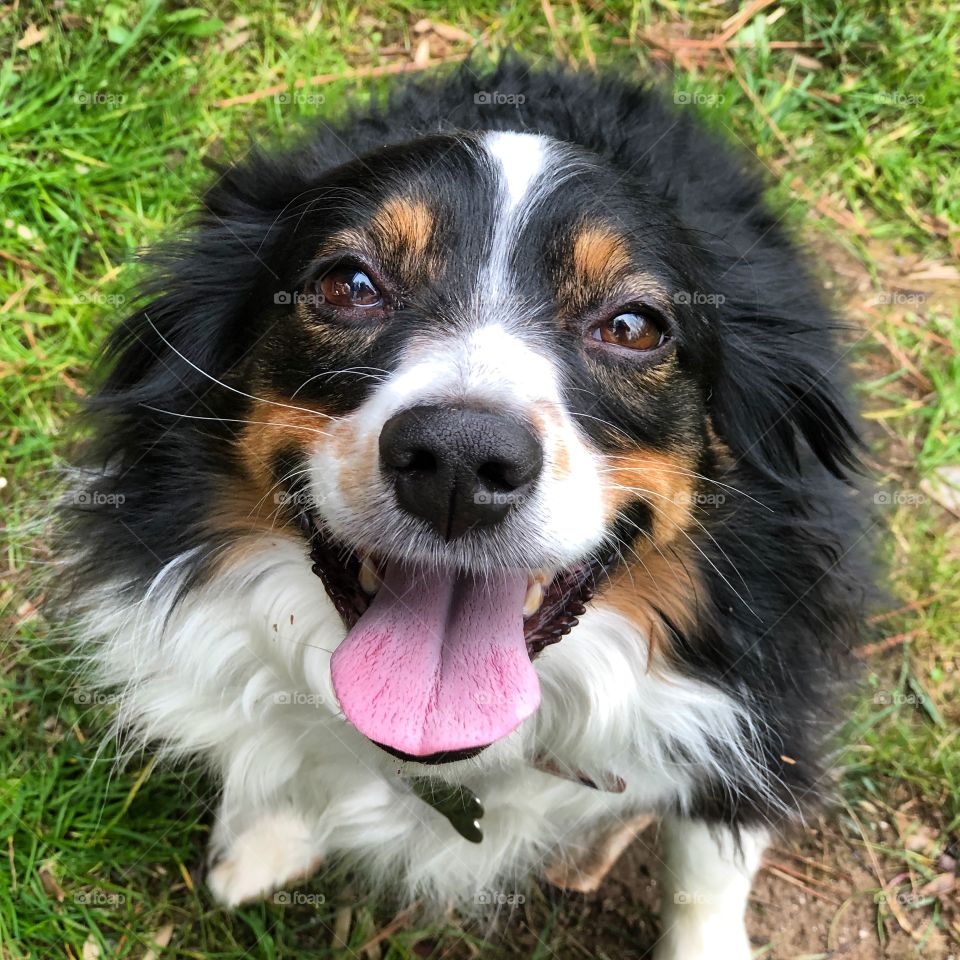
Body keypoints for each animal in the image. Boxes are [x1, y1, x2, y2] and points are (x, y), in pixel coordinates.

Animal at [60, 58, 872, 952]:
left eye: (633, 326)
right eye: (349, 284)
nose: (456, 460)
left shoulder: (759, 708)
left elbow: (707, 869)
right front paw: (267, 834)